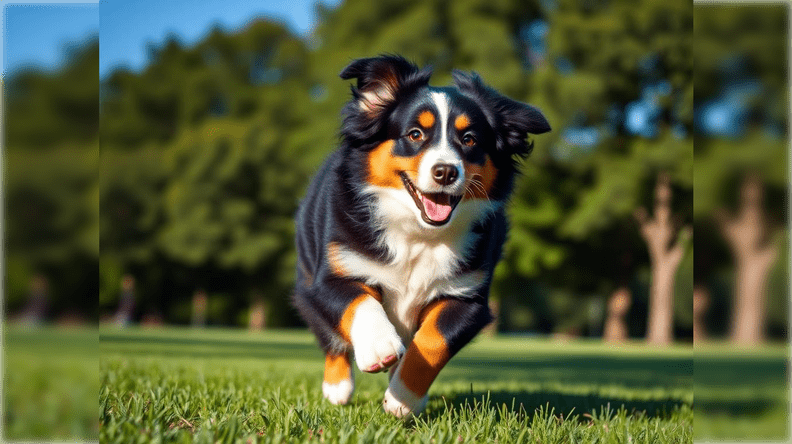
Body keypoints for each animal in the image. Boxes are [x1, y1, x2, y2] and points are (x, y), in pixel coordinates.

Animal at [292, 54, 552, 416]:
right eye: (415, 134)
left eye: (469, 139)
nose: (445, 171)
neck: (419, 233)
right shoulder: (331, 274)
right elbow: (358, 302)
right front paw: (379, 347)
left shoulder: (467, 296)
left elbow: (433, 340)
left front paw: (404, 397)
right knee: (329, 334)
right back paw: (337, 387)